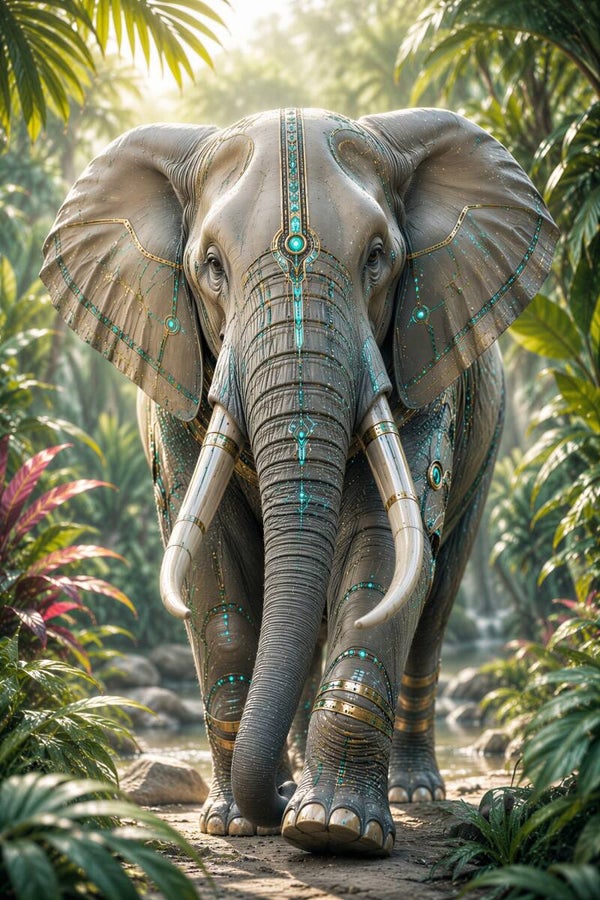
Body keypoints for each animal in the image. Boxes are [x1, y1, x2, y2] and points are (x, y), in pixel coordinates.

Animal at [41, 107, 557, 856]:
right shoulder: (174, 375)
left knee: (437, 601)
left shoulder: (424, 354)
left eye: (378, 257)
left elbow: (385, 547)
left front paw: (334, 829)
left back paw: (412, 792)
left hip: (487, 441)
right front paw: (237, 823)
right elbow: (213, 558)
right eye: (211, 267)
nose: (278, 803)